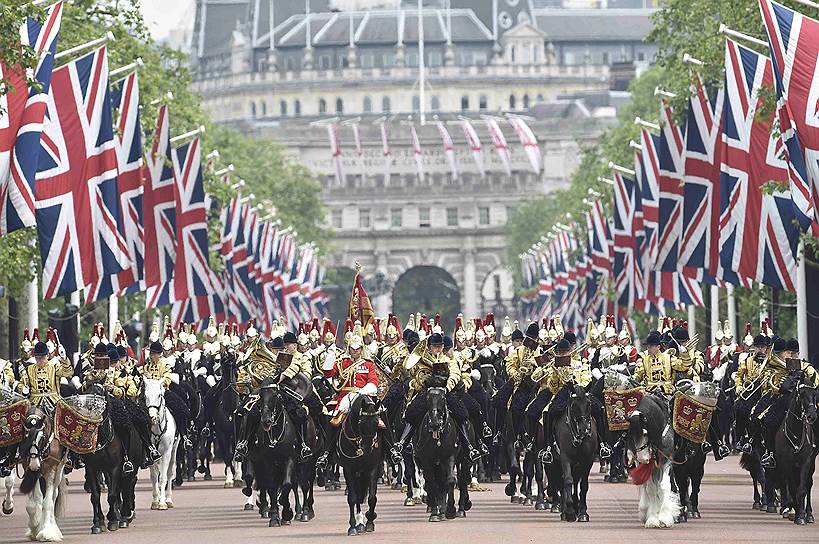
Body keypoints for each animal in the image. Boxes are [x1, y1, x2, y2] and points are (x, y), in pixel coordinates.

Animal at [144, 378, 179, 510]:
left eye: (159, 395)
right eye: (145, 396)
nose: (152, 418)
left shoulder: (166, 453)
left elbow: (163, 477)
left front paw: (163, 502)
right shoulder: (150, 454)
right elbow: (154, 477)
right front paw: (155, 500)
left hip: (174, 450)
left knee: (169, 473)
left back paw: (168, 499)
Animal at [334, 394, 382, 536]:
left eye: (376, 421)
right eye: (361, 422)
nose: (367, 448)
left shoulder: (372, 468)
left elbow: (372, 497)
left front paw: (370, 521)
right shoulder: (349, 469)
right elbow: (353, 498)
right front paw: (353, 526)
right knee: (356, 495)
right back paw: (359, 523)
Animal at [776, 378, 819, 524]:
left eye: (815, 394)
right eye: (802, 394)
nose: (812, 416)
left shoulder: (806, 461)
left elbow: (802, 489)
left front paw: (801, 516)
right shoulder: (787, 463)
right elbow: (793, 488)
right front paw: (796, 512)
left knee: (808, 484)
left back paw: (808, 513)